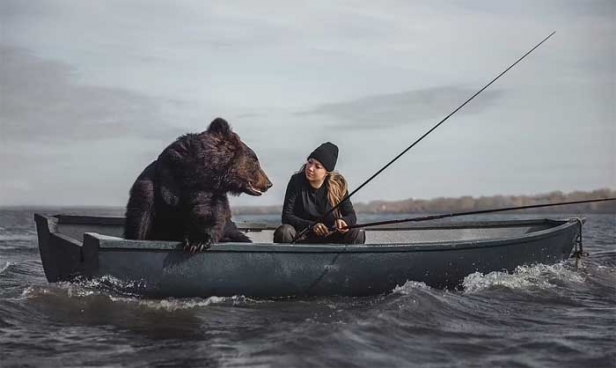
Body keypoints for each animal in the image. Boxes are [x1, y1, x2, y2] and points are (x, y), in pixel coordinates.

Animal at [124, 116, 270, 252]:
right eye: (255, 160)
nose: (269, 183)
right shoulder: (159, 184)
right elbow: (140, 221)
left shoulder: (209, 192)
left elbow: (208, 212)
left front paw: (197, 242)